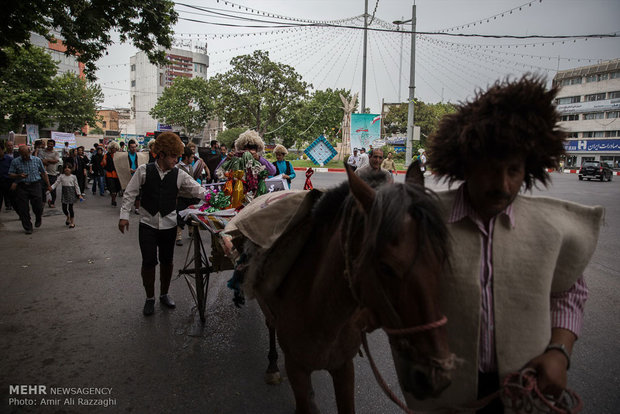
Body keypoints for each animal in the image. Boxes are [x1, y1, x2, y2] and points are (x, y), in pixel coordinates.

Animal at [247, 163, 456, 412]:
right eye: (385, 267)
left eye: (441, 257)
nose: (436, 377)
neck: (322, 313)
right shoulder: (296, 368)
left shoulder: (344, 366)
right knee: (270, 324)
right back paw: (272, 365)